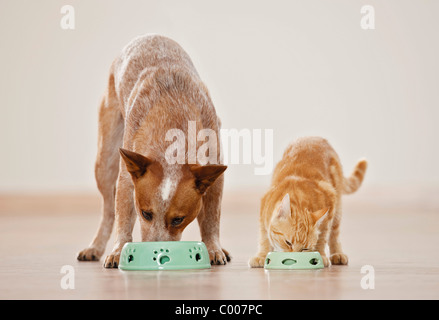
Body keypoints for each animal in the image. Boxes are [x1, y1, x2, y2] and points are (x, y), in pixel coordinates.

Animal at [77, 33, 230, 268]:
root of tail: (149, 36)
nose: (157, 254)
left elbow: (212, 217)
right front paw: (118, 250)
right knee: (108, 208)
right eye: (146, 214)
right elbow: (123, 217)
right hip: (105, 160)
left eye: (178, 219)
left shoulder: (215, 172)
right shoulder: (127, 176)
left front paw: (213, 247)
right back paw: (95, 247)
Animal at [248, 136, 368, 266]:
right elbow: (264, 237)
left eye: (304, 249)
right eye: (288, 242)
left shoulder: (330, 202)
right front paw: (262, 255)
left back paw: (337, 254)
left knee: (334, 235)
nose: (293, 259)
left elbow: (322, 237)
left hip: (337, 209)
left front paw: (321, 255)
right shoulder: (264, 207)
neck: (298, 196)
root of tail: (316, 137)